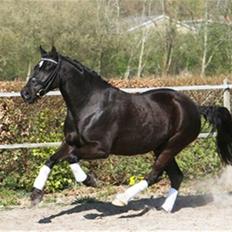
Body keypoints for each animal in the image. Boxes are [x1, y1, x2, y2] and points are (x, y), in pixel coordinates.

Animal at [21, 46, 232, 212]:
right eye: (36, 67)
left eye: (48, 68)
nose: (25, 94)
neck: (90, 105)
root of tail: (195, 107)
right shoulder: (70, 142)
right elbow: (51, 160)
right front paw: (35, 195)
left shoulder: (100, 149)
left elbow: (72, 158)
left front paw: (89, 180)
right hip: (161, 147)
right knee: (176, 176)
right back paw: (165, 208)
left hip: (173, 144)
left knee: (155, 174)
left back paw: (122, 199)